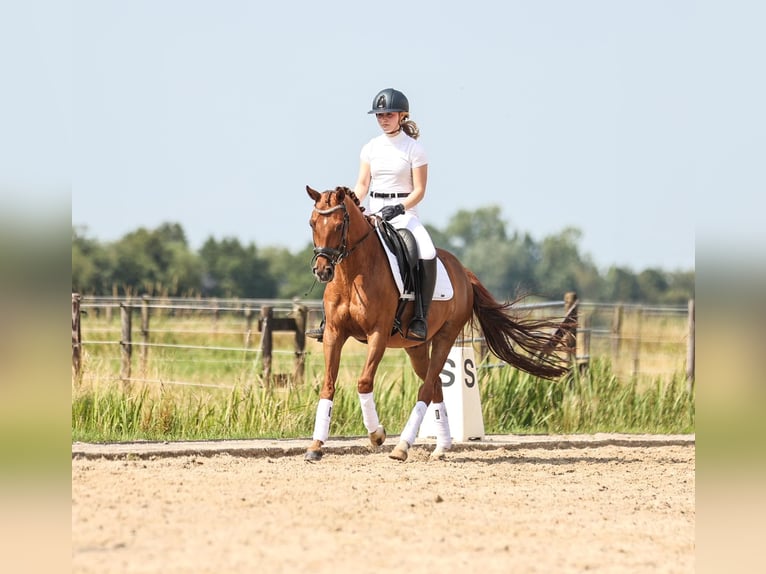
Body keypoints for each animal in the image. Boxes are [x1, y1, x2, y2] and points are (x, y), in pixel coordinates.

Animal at [304, 187, 568, 466]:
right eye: (312, 223)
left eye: (339, 224)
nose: (322, 270)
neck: (353, 273)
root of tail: (463, 272)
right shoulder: (334, 333)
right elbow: (328, 385)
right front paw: (316, 446)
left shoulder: (377, 334)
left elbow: (364, 382)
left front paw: (377, 435)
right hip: (416, 346)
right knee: (437, 384)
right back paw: (442, 446)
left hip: (445, 336)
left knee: (427, 388)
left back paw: (403, 446)